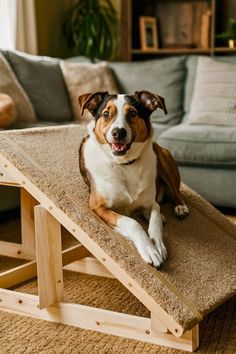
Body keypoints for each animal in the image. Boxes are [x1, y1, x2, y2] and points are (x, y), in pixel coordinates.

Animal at [78, 90, 189, 266]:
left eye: (132, 113)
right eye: (106, 114)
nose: (118, 132)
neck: (125, 164)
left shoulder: (151, 203)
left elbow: (155, 218)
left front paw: (158, 244)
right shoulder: (98, 207)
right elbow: (132, 223)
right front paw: (149, 249)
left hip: (163, 157)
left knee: (175, 191)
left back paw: (180, 207)